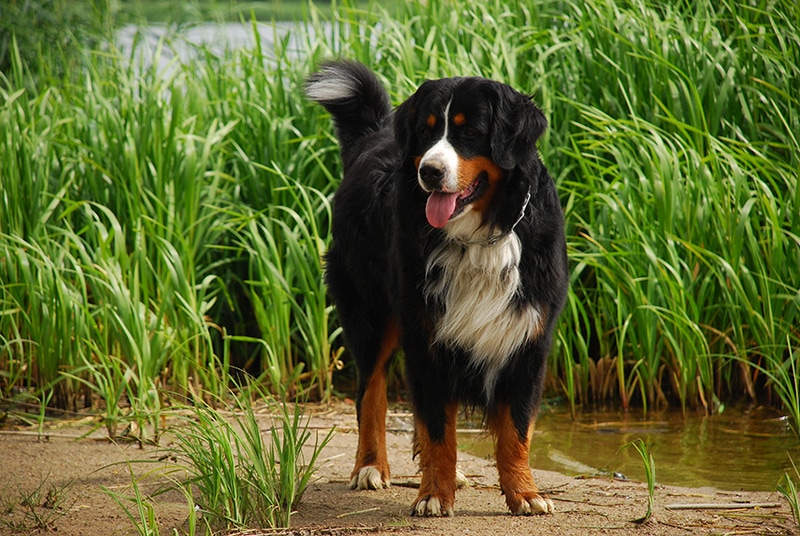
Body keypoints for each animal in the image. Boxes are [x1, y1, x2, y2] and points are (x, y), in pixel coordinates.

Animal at [306, 60, 568, 516]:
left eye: (469, 131)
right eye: (427, 132)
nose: (429, 171)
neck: (478, 239)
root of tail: (374, 137)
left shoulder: (527, 338)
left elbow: (515, 431)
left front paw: (525, 493)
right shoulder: (427, 335)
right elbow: (438, 429)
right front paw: (433, 495)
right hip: (371, 315)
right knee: (370, 394)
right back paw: (370, 467)